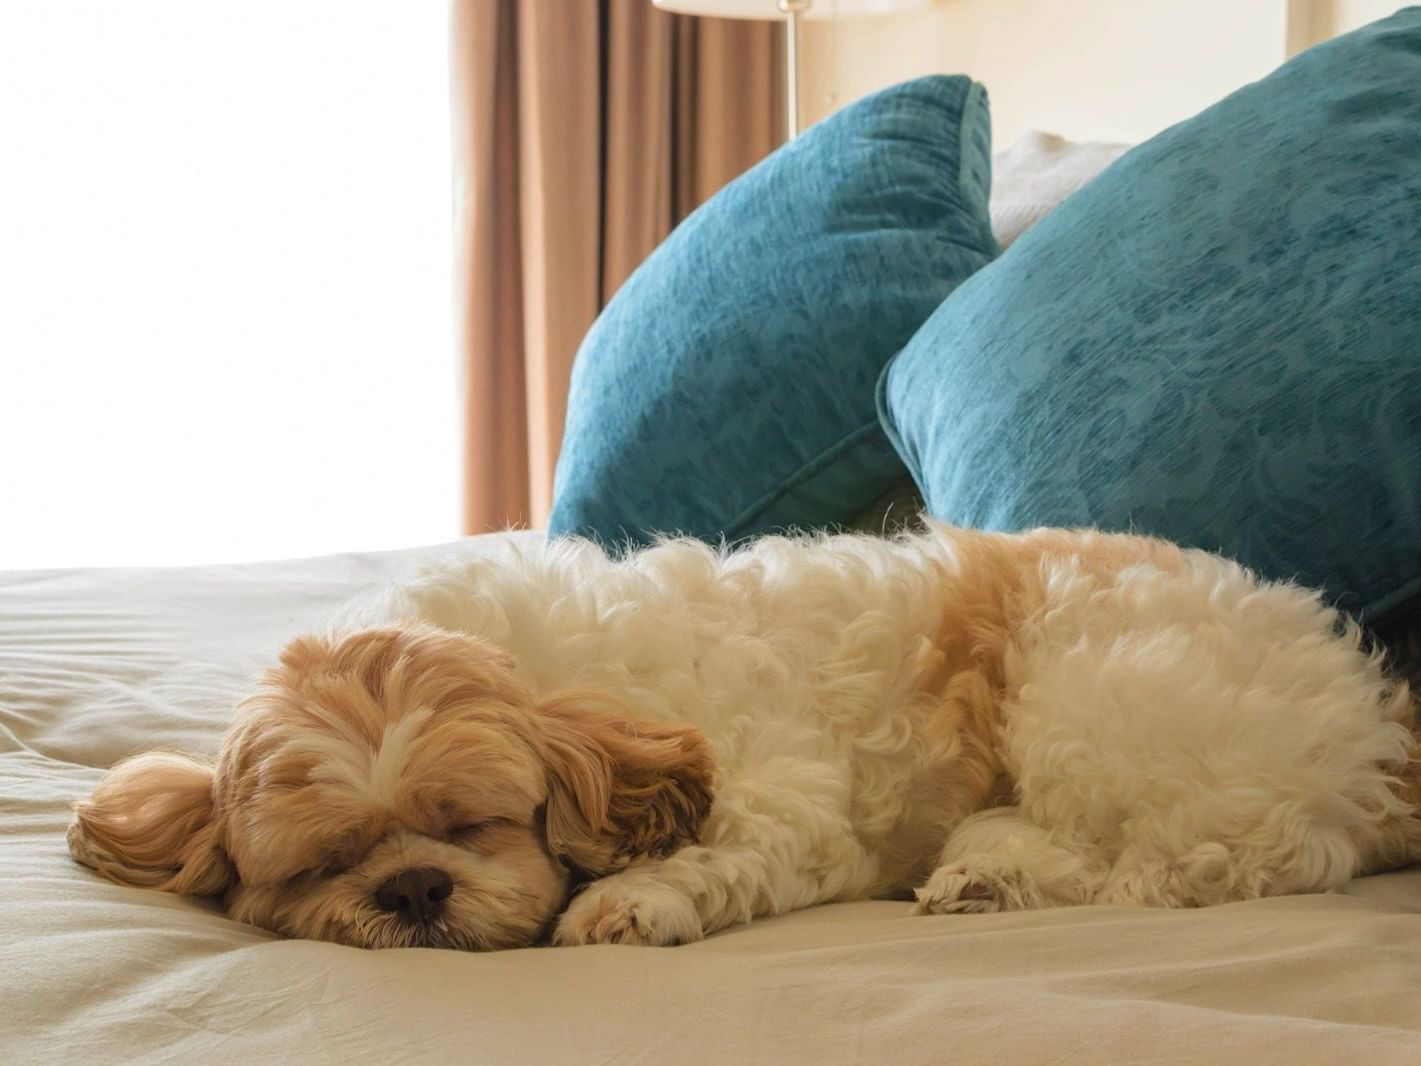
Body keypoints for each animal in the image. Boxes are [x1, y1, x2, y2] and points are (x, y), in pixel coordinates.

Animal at [69, 525, 1421, 949]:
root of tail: (1372, 706)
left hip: (1103, 700)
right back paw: (986, 866)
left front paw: (633, 899)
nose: (410, 888)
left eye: (477, 825)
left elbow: (723, 852)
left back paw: (996, 870)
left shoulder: (785, 798)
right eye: (324, 862)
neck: (564, 689)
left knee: (1214, 857)